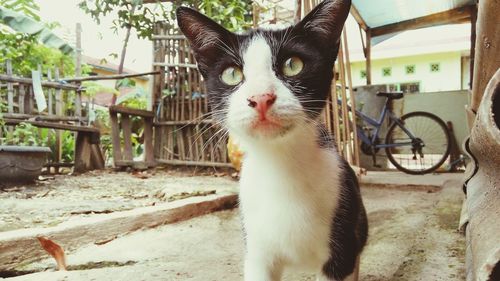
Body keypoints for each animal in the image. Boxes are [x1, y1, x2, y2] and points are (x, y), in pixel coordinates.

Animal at [176, 1, 368, 278]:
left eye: (293, 64)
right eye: (232, 74)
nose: (260, 97)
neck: (280, 165)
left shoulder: (341, 247)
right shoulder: (257, 251)